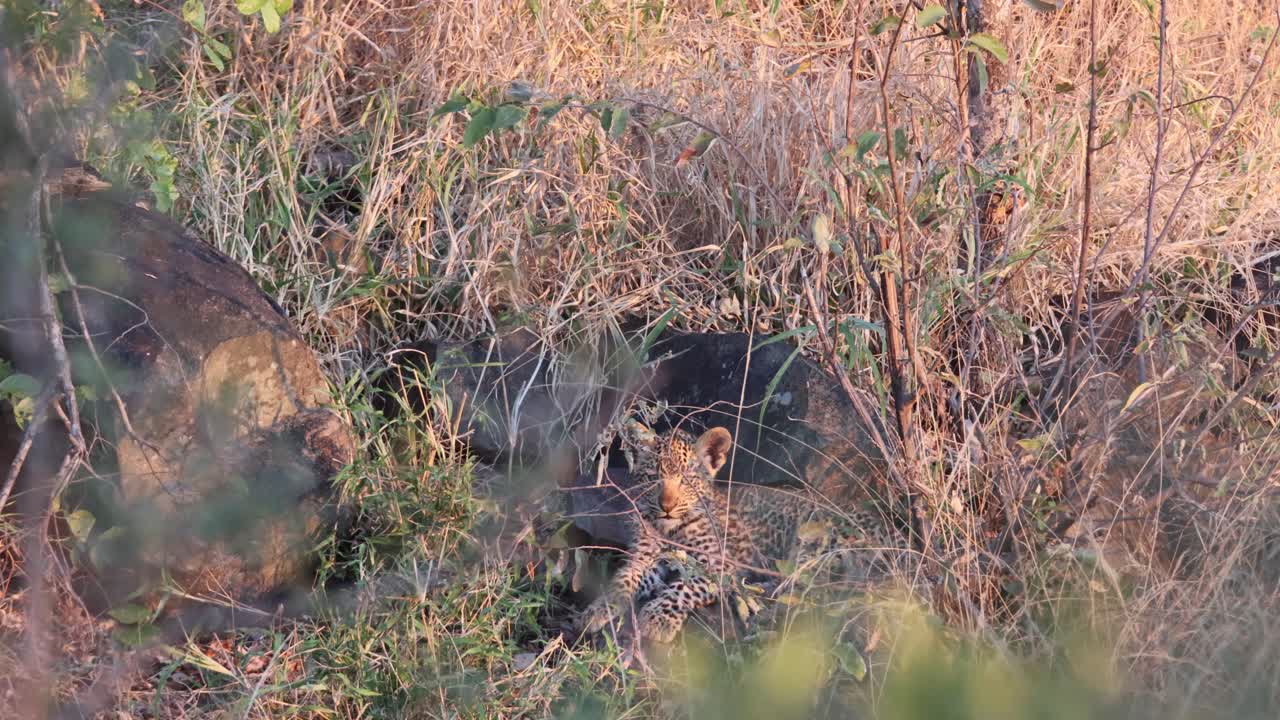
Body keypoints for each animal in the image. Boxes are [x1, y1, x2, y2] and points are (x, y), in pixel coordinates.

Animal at [579, 419, 901, 644]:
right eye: (652, 478)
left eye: (687, 480)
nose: (666, 506)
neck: (670, 528)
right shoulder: (647, 558)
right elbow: (625, 578)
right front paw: (599, 609)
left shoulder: (719, 565)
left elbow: (685, 588)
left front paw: (658, 619)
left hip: (814, 541)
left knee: (811, 593)